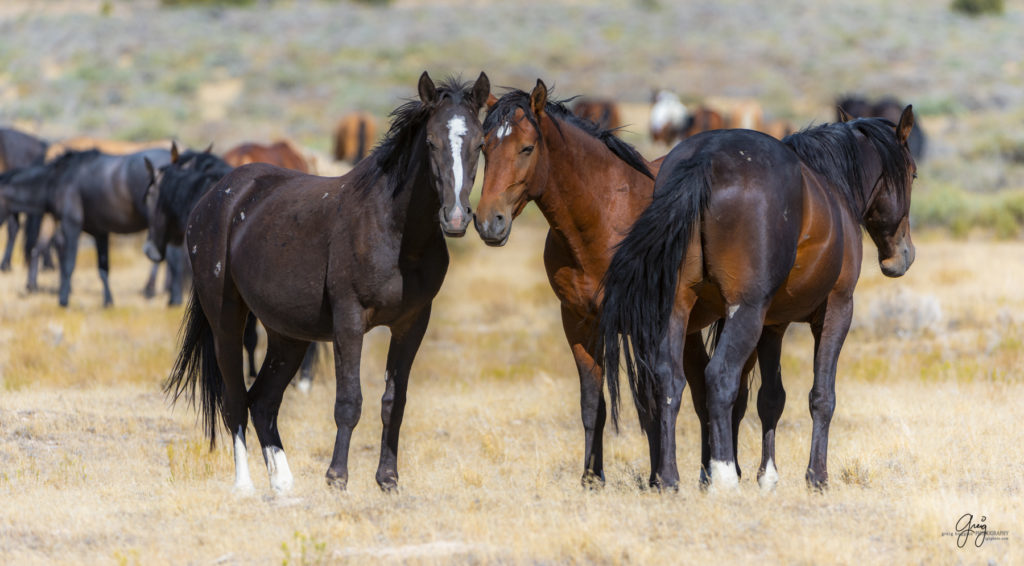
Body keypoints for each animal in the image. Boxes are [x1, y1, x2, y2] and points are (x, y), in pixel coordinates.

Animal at [598, 105, 917, 489]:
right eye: (913, 174)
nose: (902, 256)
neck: (834, 187)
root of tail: (705, 161)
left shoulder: (772, 325)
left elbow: (771, 398)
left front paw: (768, 476)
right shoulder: (836, 310)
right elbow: (822, 396)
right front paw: (816, 476)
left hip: (676, 309)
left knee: (669, 380)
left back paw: (669, 479)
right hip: (745, 312)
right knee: (719, 377)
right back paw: (722, 477)